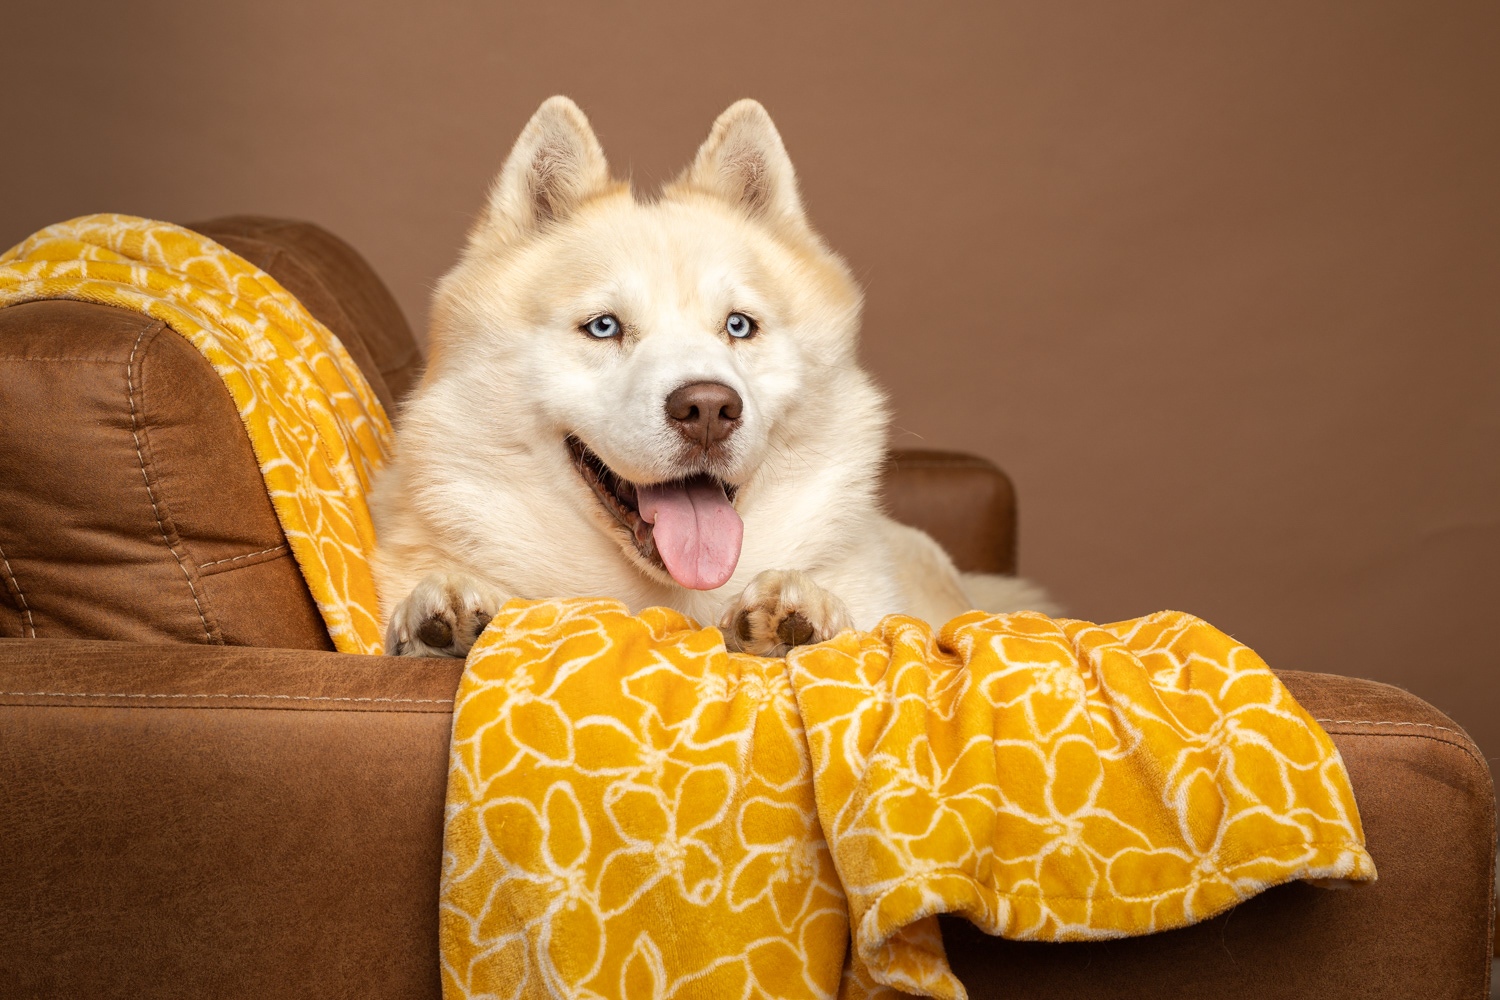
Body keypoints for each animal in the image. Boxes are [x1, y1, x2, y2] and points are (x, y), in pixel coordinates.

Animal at [372, 96, 1056, 658]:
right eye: (604, 327)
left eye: (738, 325)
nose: (707, 409)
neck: (677, 604)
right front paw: (446, 605)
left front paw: (799, 604)